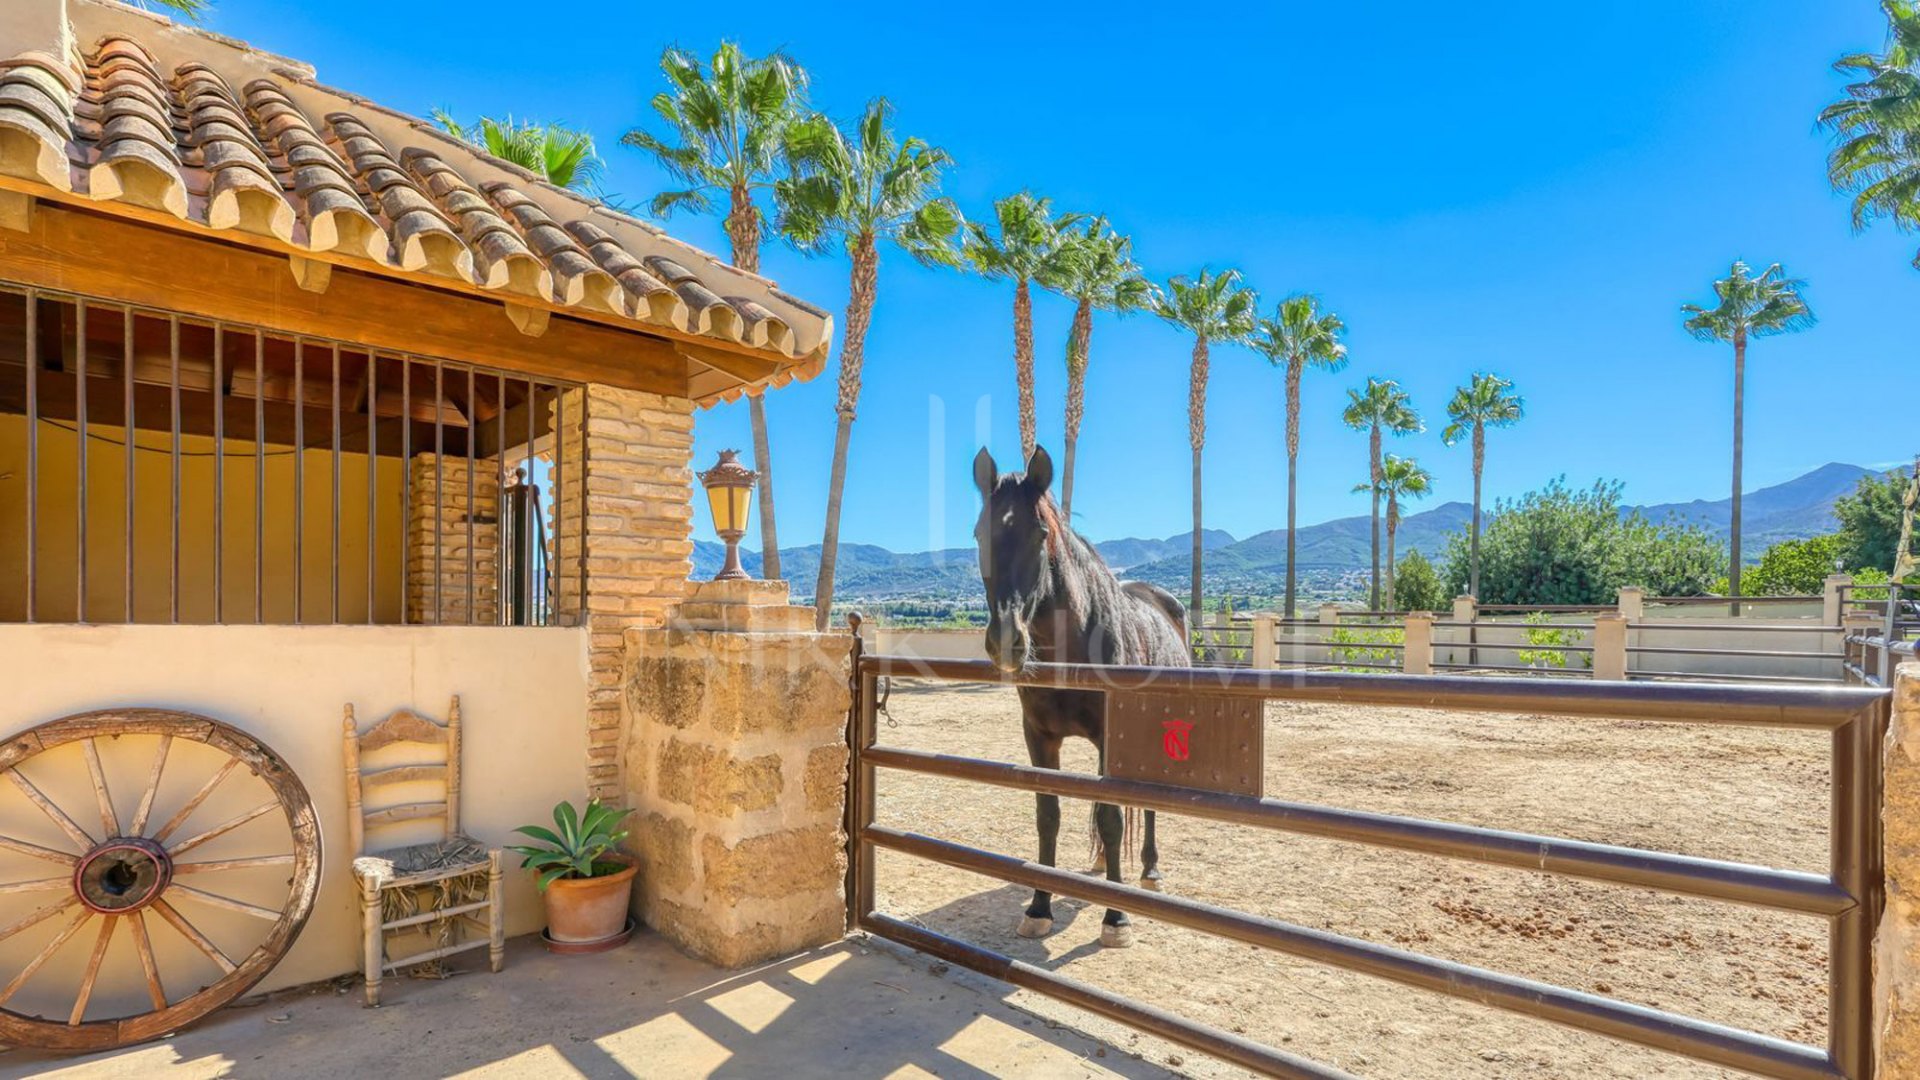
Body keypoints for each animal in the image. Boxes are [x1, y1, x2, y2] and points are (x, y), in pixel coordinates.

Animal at [972, 445, 1192, 949]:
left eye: (1040, 534)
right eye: (978, 534)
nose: (1007, 641)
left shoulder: (1112, 736)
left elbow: (1112, 819)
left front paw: (1116, 918)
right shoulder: (1039, 738)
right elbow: (1048, 815)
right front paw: (1039, 908)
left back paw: (1149, 871)